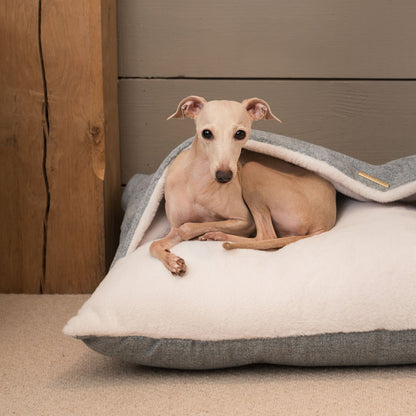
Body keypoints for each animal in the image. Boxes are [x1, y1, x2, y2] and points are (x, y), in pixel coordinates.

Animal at [151, 96, 336, 274]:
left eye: (240, 134)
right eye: (206, 133)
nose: (224, 176)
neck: (198, 181)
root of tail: (327, 223)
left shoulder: (244, 221)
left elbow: (190, 226)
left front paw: (192, 232)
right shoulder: (173, 226)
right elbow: (153, 245)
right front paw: (172, 262)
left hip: (251, 170)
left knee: (267, 237)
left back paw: (219, 236)